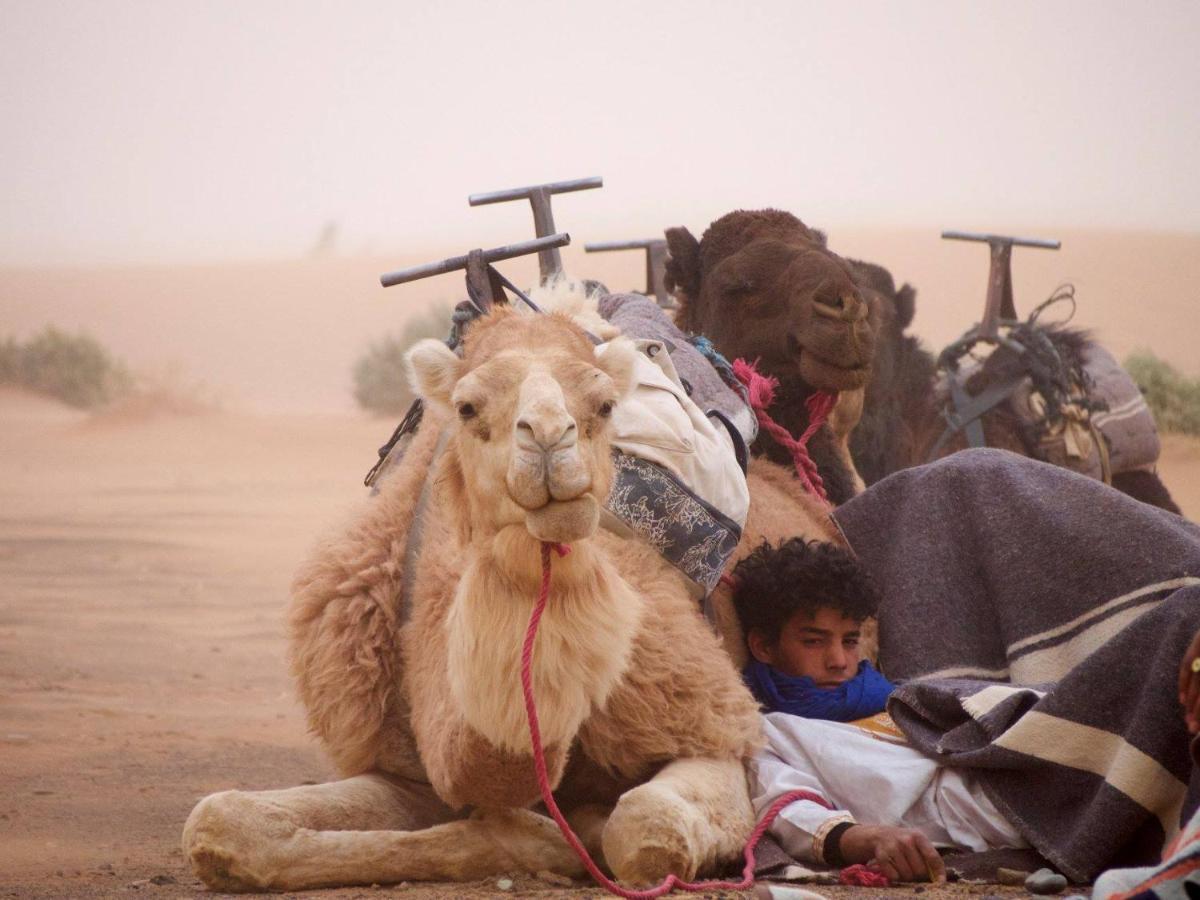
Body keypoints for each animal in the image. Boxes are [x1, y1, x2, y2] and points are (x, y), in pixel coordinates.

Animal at [182, 304, 840, 897]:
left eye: (605, 406)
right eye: (468, 407)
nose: (548, 439)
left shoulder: (706, 725)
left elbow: (644, 829)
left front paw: (566, 831)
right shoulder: (407, 762)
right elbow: (221, 822)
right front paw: (541, 836)